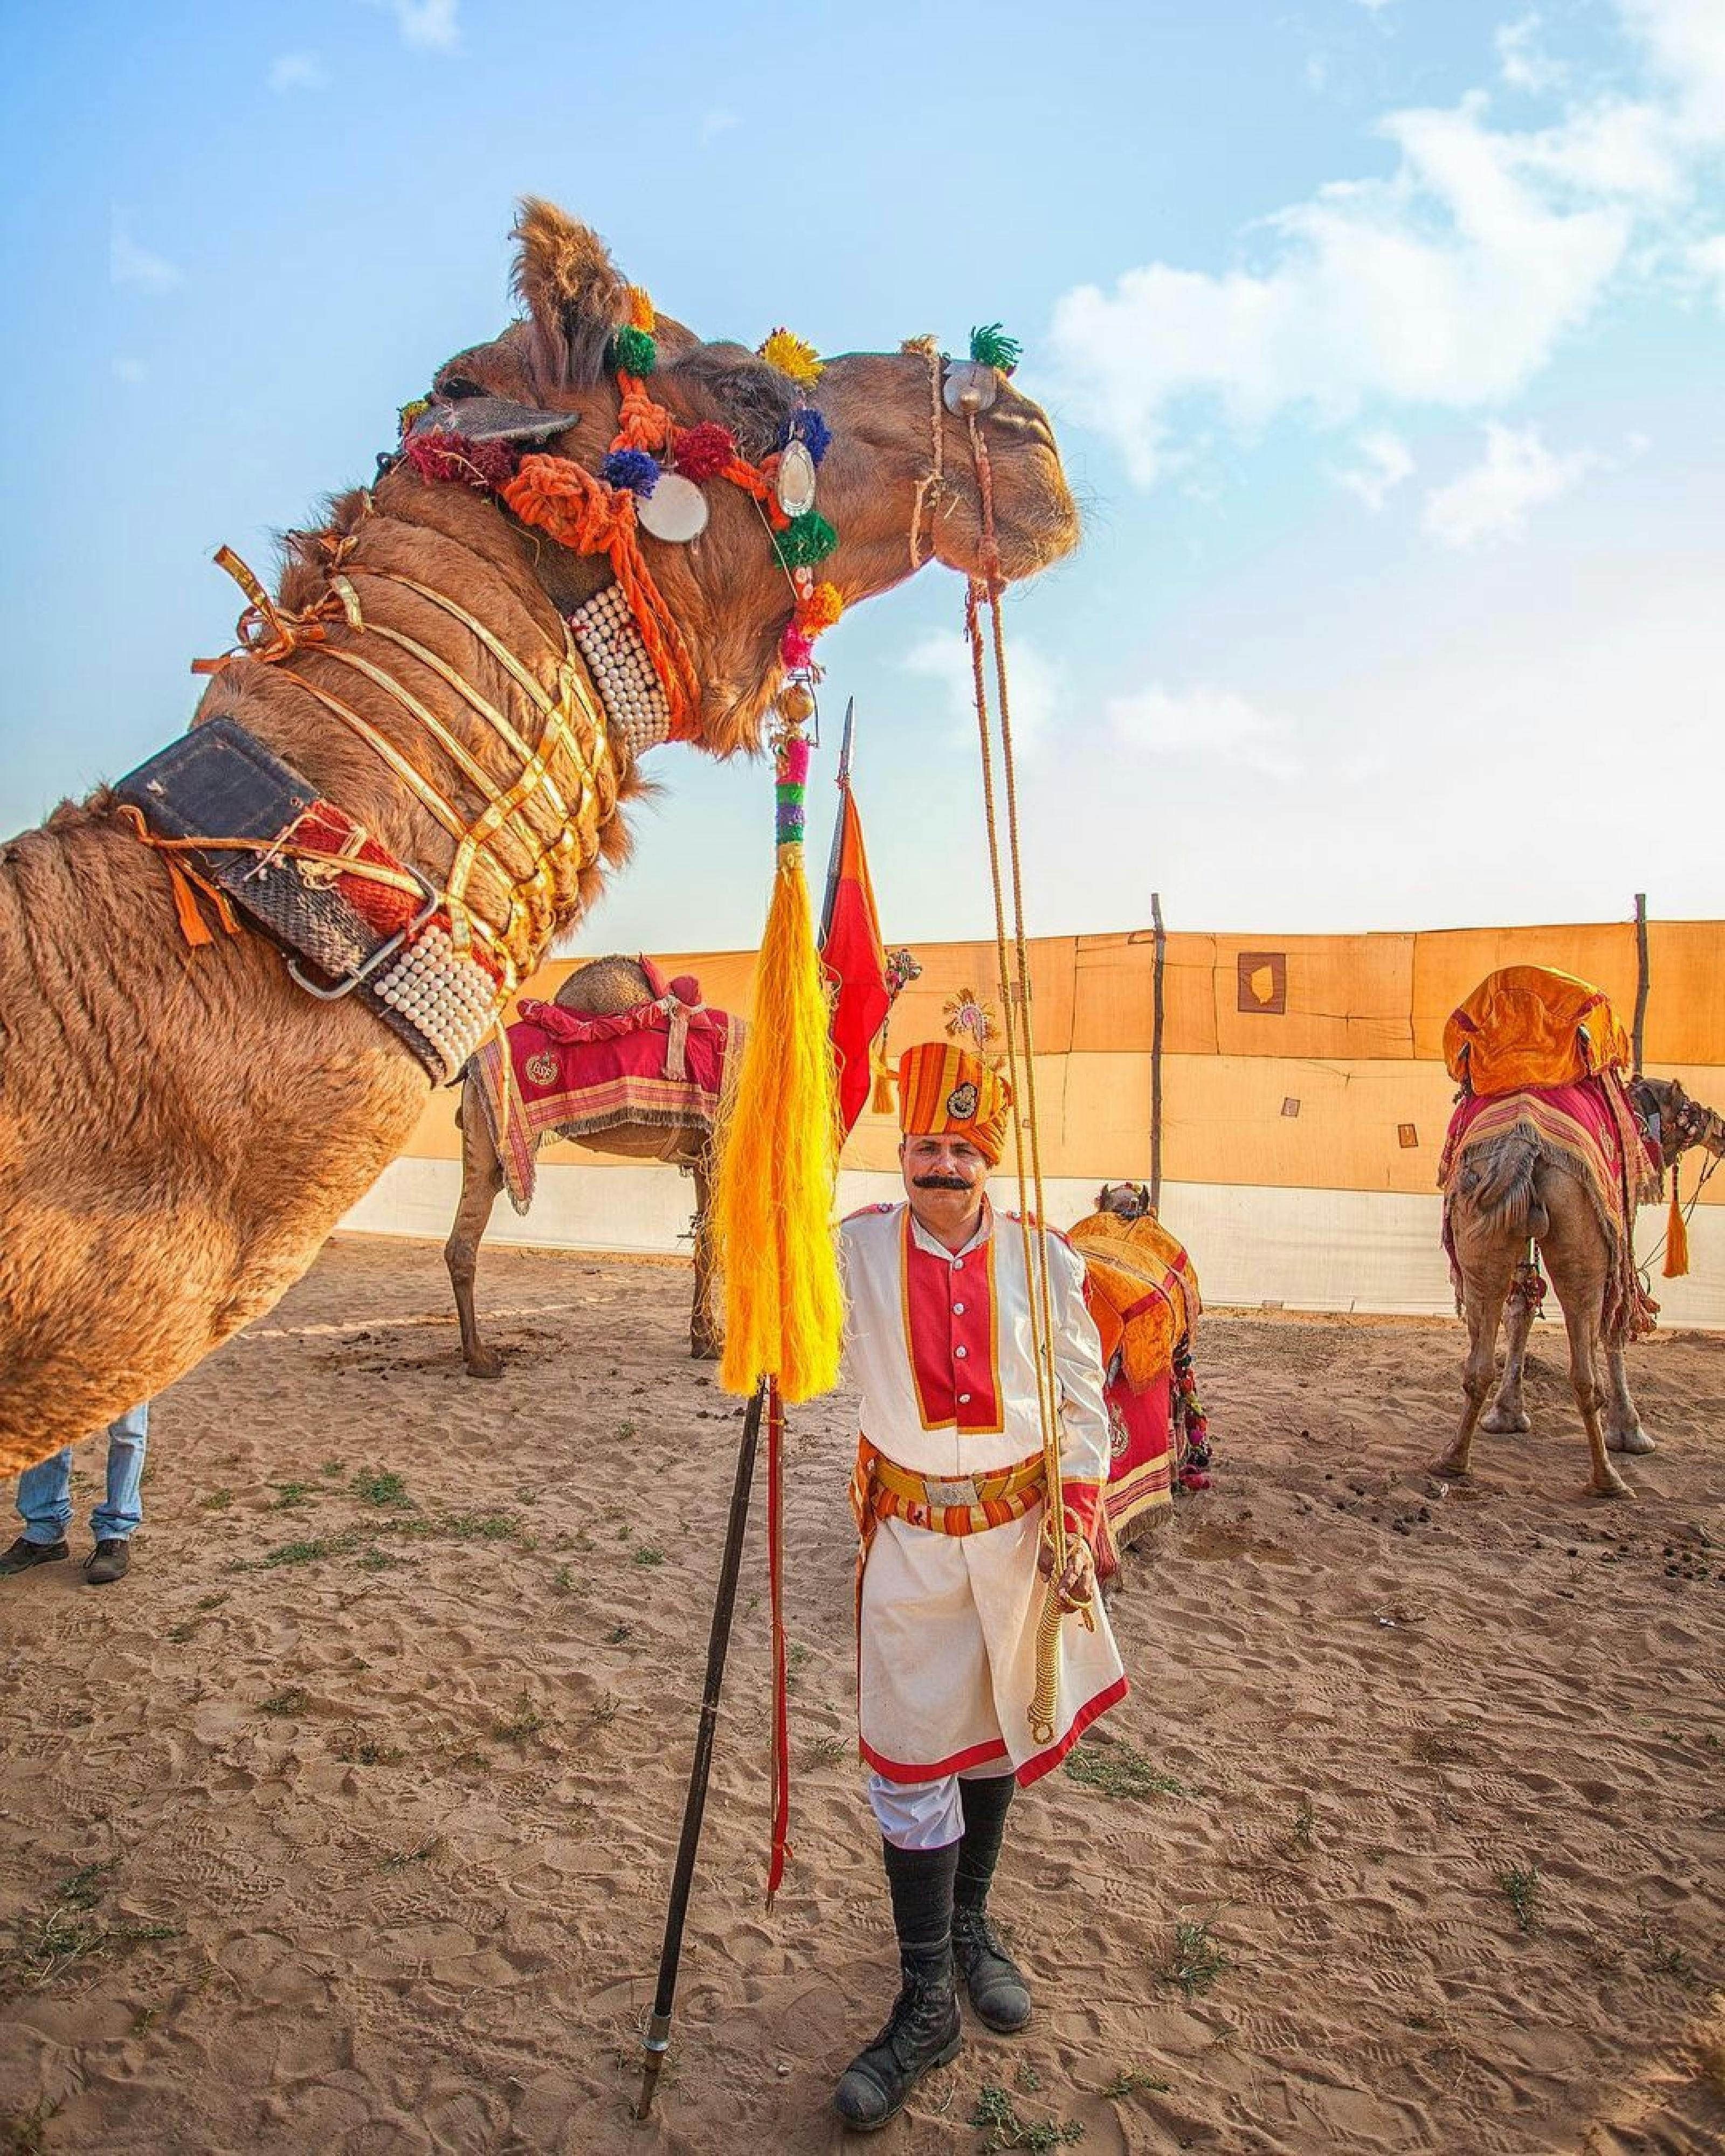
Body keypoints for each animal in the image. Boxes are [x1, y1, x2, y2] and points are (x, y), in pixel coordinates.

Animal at [1432, 966, 1725, 1501]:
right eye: (1690, 1107)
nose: (1720, 1127)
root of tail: (1522, 1138)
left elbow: (1522, 1305)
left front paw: (1507, 1416)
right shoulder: (1618, 1222)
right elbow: (1618, 1321)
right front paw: (1632, 1433)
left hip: (1478, 1221)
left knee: (1480, 1353)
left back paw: (1453, 1460)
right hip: (1580, 1222)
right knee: (1586, 1353)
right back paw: (1607, 1479)